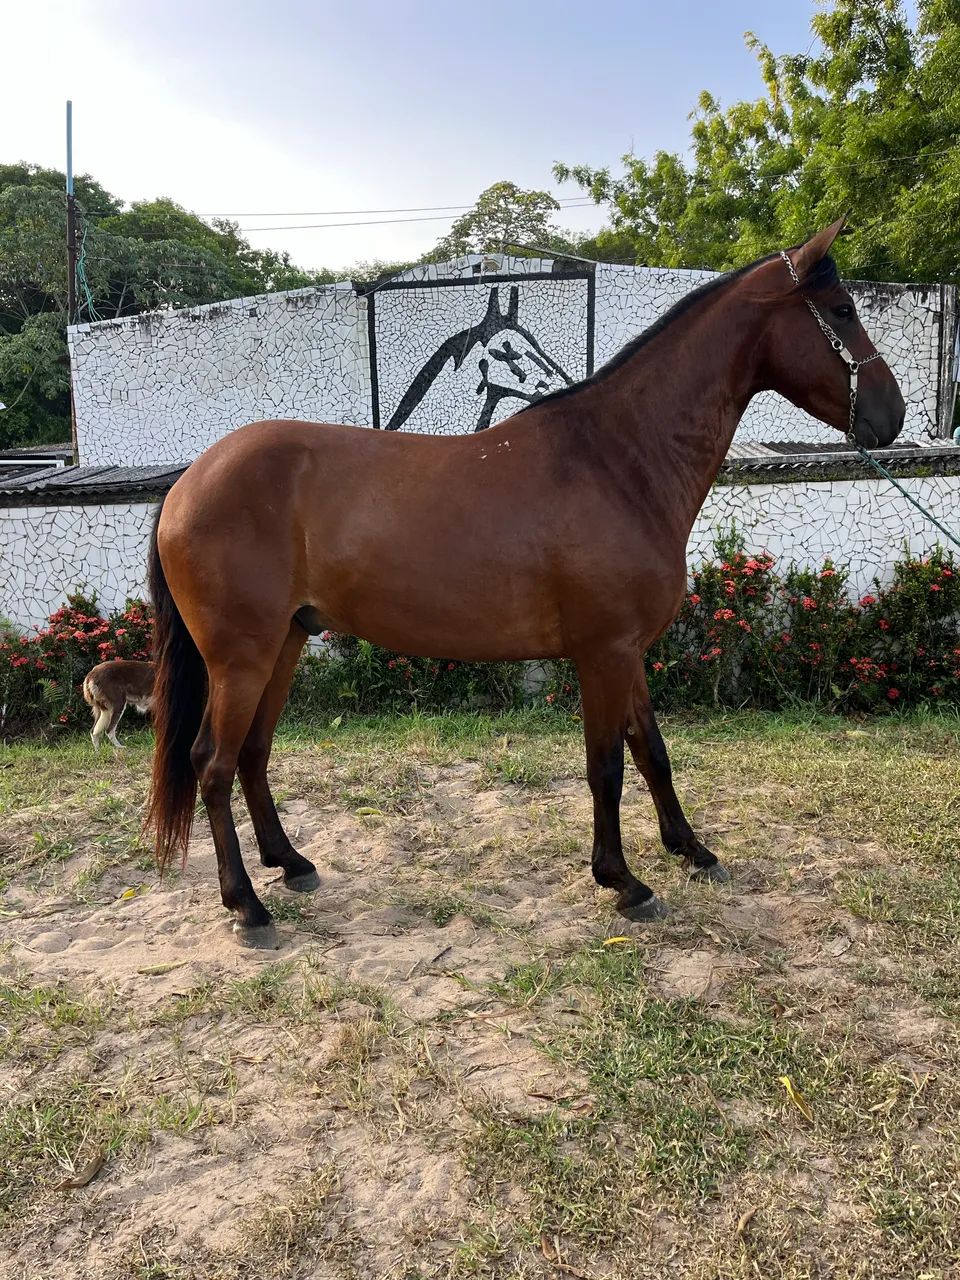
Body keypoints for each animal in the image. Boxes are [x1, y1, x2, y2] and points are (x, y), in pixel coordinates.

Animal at [145, 220, 905, 948]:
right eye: (842, 309)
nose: (891, 416)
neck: (617, 461)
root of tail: (189, 480)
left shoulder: (627, 652)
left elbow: (652, 752)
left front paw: (691, 851)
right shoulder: (603, 653)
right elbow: (607, 766)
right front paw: (622, 881)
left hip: (285, 644)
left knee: (252, 754)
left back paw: (291, 863)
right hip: (240, 658)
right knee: (212, 763)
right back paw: (246, 905)